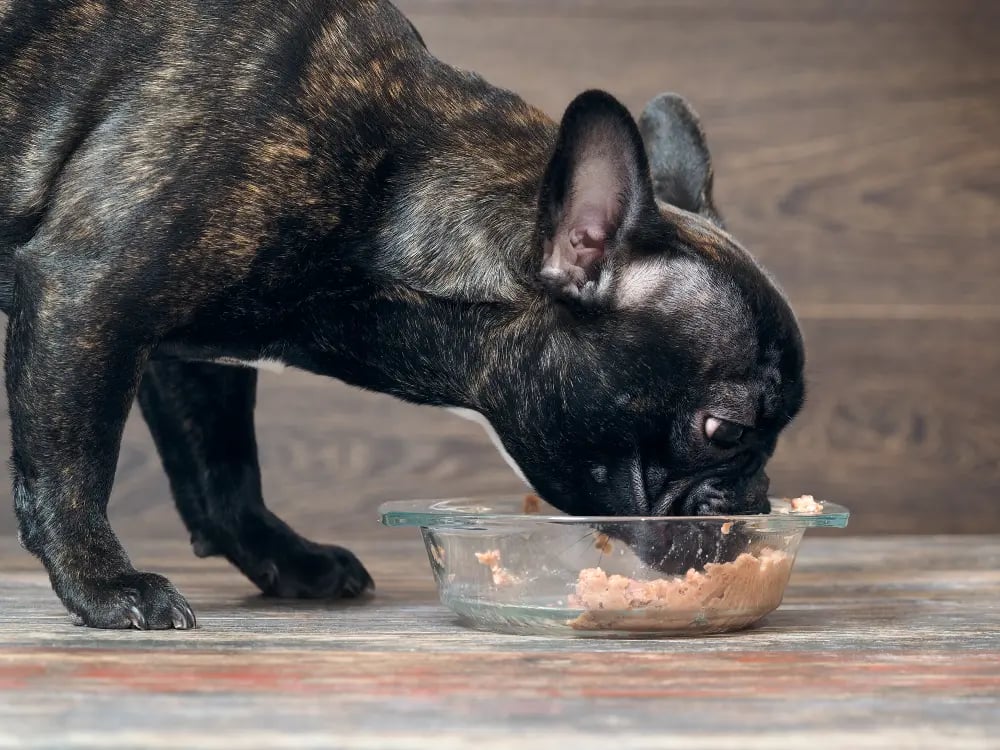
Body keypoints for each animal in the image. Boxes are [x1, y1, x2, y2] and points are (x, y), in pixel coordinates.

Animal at [0, 0, 800, 632]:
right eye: (724, 430)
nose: (756, 499)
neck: (389, 189)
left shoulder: (187, 351)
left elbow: (223, 468)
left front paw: (282, 556)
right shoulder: (89, 291)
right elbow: (73, 462)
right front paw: (104, 584)